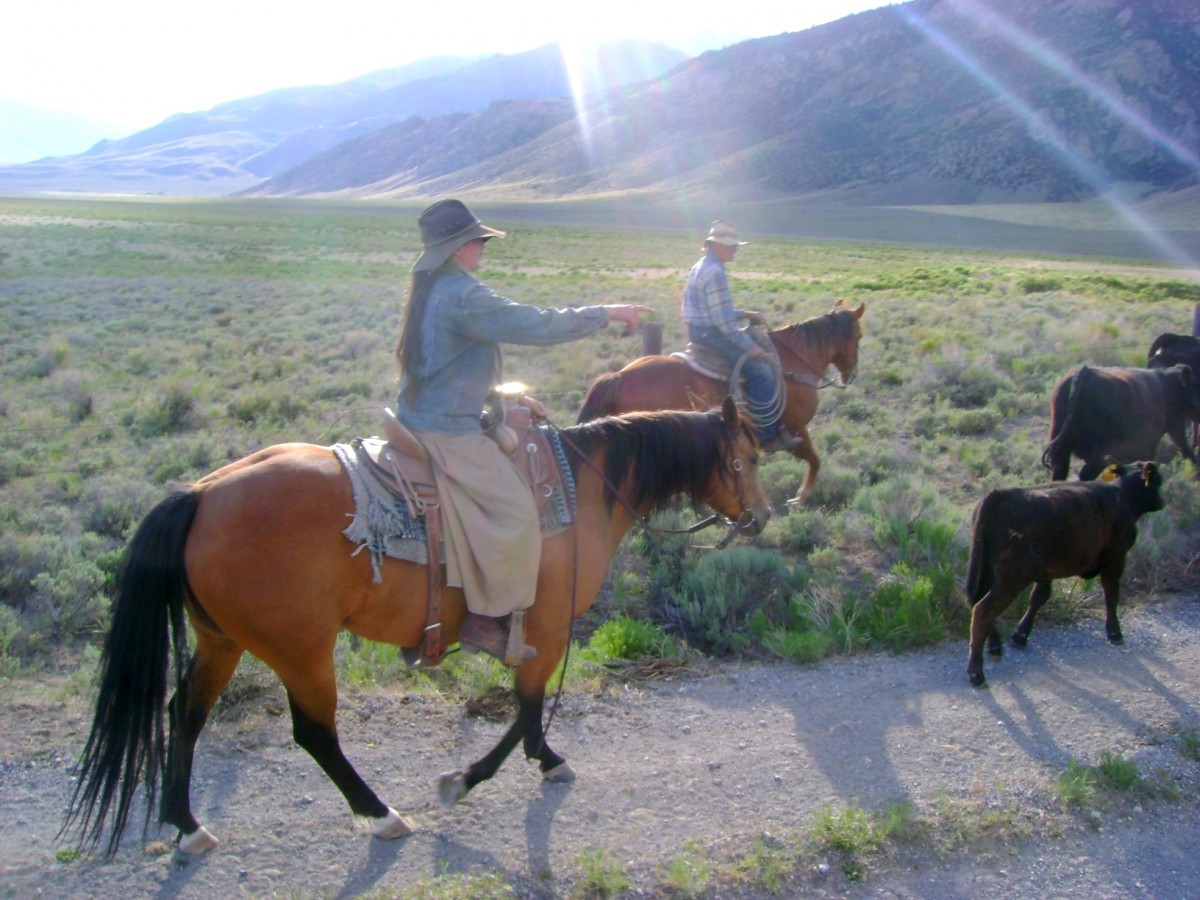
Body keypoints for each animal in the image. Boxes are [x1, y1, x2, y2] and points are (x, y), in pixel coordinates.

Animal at [60, 400, 768, 859]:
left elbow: (528, 708)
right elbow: (526, 706)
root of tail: (202, 493)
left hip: (222, 641)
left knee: (184, 713)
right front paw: (471, 778)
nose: (760, 516)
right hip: (301, 650)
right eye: (748, 456)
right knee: (314, 733)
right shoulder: (544, 626)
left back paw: (186, 824)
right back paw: (381, 815)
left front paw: (543, 759)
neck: (583, 489)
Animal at [578, 303, 864, 508]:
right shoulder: (796, 429)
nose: (851, 374)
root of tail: (618, 377)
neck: (794, 362)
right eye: (860, 335)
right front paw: (801, 497)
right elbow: (815, 460)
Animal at [964, 465, 1161, 691]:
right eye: (1158, 481)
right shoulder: (1115, 559)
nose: (1161, 501)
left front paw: (1020, 636)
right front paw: (1115, 633)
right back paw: (977, 674)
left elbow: (1038, 598)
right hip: (1011, 579)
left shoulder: (1047, 573)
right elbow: (1111, 595)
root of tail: (999, 495)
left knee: (977, 603)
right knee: (983, 611)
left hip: (986, 573)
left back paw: (995, 647)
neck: (1122, 495)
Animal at [1041, 362, 1200, 482]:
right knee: (1085, 474)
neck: (1166, 386)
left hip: (1062, 450)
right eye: (1196, 388)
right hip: (1100, 452)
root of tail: (1084, 373)